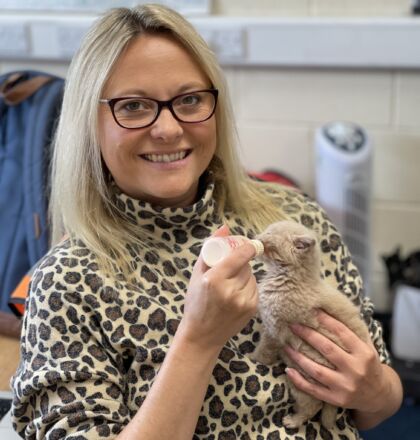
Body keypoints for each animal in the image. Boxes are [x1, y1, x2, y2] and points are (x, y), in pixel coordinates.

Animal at [251, 222, 370, 428]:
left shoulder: (275, 330)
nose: (255, 236)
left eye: (268, 236)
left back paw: (293, 421)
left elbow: (263, 350)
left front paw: (254, 359)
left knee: (313, 406)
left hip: (301, 380)